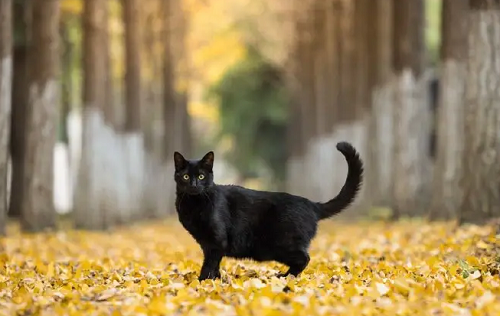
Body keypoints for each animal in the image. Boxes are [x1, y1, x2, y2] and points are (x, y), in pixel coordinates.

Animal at [174, 142, 362, 280]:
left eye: (201, 176)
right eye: (185, 176)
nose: (194, 185)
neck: (194, 204)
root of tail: (312, 204)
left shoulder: (217, 241)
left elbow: (209, 264)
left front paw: (202, 282)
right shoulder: (208, 244)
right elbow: (214, 264)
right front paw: (215, 280)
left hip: (280, 245)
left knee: (305, 258)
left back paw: (286, 277)